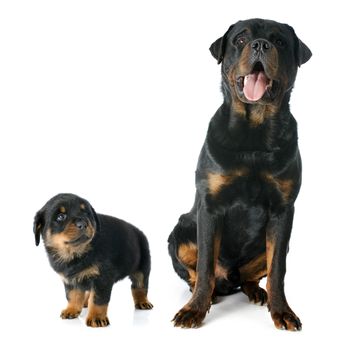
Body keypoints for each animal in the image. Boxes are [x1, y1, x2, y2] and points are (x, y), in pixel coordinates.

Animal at [33, 193, 152, 326]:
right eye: (60, 217)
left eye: (86, 213)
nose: (83, 224)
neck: (76, 254)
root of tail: (140, 232)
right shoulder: (70, 280)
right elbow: (72, 295)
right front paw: (72, 309)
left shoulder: (102, 278)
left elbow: (98, 300)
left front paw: (96, 318)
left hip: (142, 266)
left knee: (139, 286)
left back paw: (142, 302)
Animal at [169, 18, 312, 330]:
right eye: (241, 39)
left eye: (280, 41)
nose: (260, 44)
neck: (254, 131)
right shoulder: (210, 207)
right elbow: (205, 264)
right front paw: (194, 309)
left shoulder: (283, 210)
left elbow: (277, 269)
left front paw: (282, 311)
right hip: (181, 231)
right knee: (198, 273)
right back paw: (207, 293)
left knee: (254, 275)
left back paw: (257, 292)